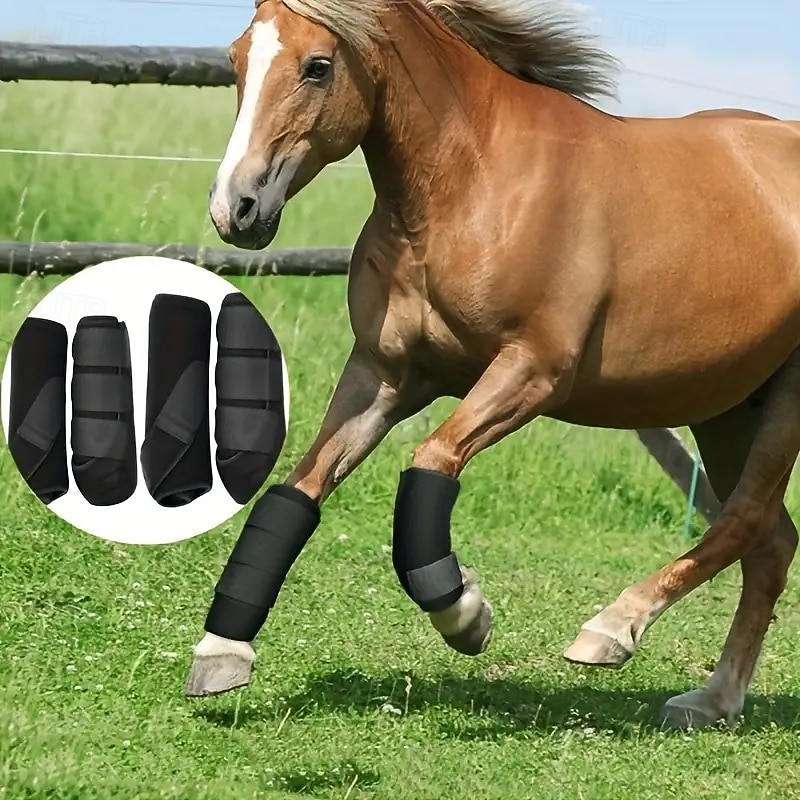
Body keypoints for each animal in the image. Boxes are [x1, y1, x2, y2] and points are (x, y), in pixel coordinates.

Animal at [185, 0, 800, 731]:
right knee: (771, 542)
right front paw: (220, 653)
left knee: (747, 522)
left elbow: (430, 462)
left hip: (785, 404)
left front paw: (466, 616)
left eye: (318, 66)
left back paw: (611, 632)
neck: (471, 185)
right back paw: (712, 700)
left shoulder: (530, 371)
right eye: (236, 59)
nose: (234, 209)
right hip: (728, 407)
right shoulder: (384, 374)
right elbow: (297, 489)